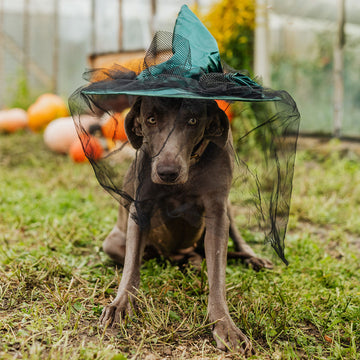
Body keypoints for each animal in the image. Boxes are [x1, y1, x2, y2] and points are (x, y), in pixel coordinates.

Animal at [100, 95, 272, 354]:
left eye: (192, 120)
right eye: (151, 119)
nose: (167, 172)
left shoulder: (217, 210)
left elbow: (217, 276)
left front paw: (225, 326)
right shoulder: (140, 206)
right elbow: (131, 268)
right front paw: (120, 304)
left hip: (228, 210)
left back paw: (250, 258)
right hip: (113, 242)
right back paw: (189, 262)